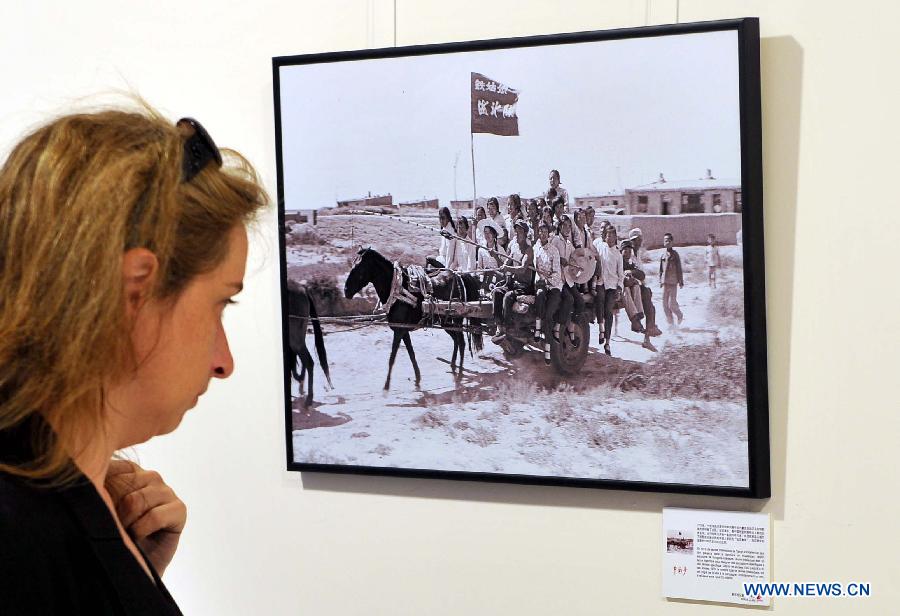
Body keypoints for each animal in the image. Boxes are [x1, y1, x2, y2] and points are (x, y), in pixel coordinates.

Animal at [344, 245, 482, 390]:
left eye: (359, 267)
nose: (346, 291)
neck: (397, 290)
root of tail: (459, 275)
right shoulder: (402, 330)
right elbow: (411, 353)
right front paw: (418, 376)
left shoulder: (399, 331)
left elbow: (392, 357)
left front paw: (386, 386)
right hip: (446, 322)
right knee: (456, 340)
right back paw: (453, 364)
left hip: (456, 320)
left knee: (461, 342)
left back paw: (459, 372)